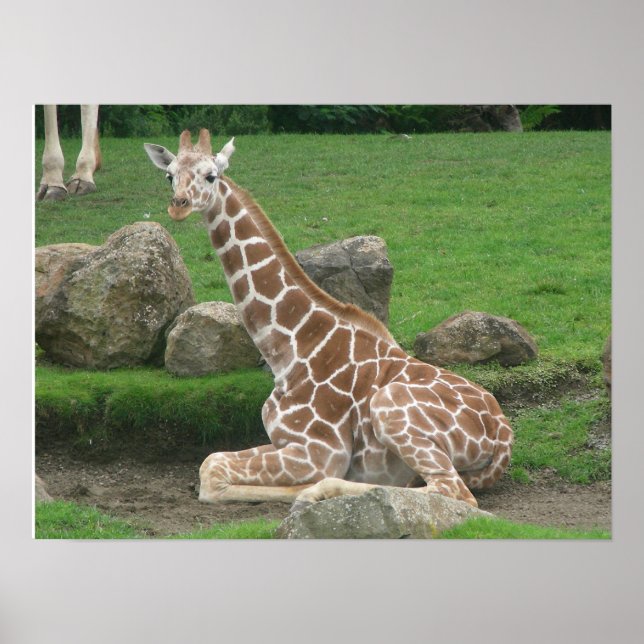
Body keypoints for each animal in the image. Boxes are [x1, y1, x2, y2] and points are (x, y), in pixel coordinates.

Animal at [144, 129, 513, 509]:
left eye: (211, 175)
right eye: (169, 175)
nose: (179, 205)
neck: (289, 347)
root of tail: (503, 439)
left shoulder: (321, 450)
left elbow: (212, 470)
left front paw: (305, 488)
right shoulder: (283, 440)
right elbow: (211, 461)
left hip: (389, 407)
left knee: (454, 491)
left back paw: (317, 492)